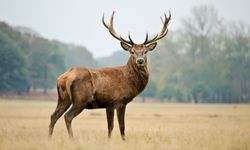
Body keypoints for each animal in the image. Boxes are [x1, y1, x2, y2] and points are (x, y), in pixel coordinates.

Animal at [48, 10, 170, 141]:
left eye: (145, 51)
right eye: (132, 51)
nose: (140, 61)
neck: (130, 81)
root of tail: (64, 77)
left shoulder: (109, 105)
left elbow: (110, 127)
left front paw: (109, 140)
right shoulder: (120, 101)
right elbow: (122, 126)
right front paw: (123, 141)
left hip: (63, 98)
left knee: (53, 116)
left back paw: (49, 139)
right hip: (80, 99)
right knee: (67, 117)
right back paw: (72, 139)